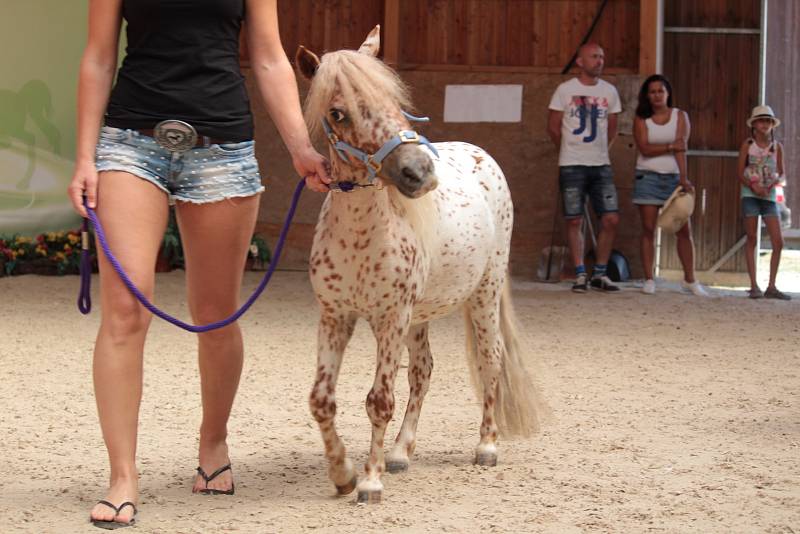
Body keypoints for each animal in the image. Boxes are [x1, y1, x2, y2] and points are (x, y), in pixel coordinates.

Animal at [296, 26, 548, 506]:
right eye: (338, 113)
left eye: (395, 100)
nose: (418, 172)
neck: (361, 236)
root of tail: (479, 154)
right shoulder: (335, 317)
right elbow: (322, 400)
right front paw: (343, 473)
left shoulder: (391, 319)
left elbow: (379, 400)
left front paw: (370, 482)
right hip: (420, 317)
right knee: (423, 372)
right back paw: (400, 453)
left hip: (483, 294)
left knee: (490, 358)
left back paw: (486, 445)